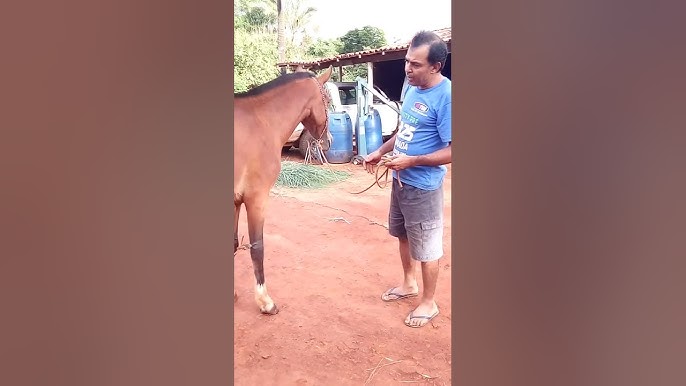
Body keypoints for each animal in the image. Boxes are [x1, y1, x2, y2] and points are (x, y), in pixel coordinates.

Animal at [235, 66, 334, 314]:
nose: (328, 141)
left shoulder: (235, 202)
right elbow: (257, 248)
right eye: (328, 100)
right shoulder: (256, 198)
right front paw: (265, 301)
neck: (259, 121)